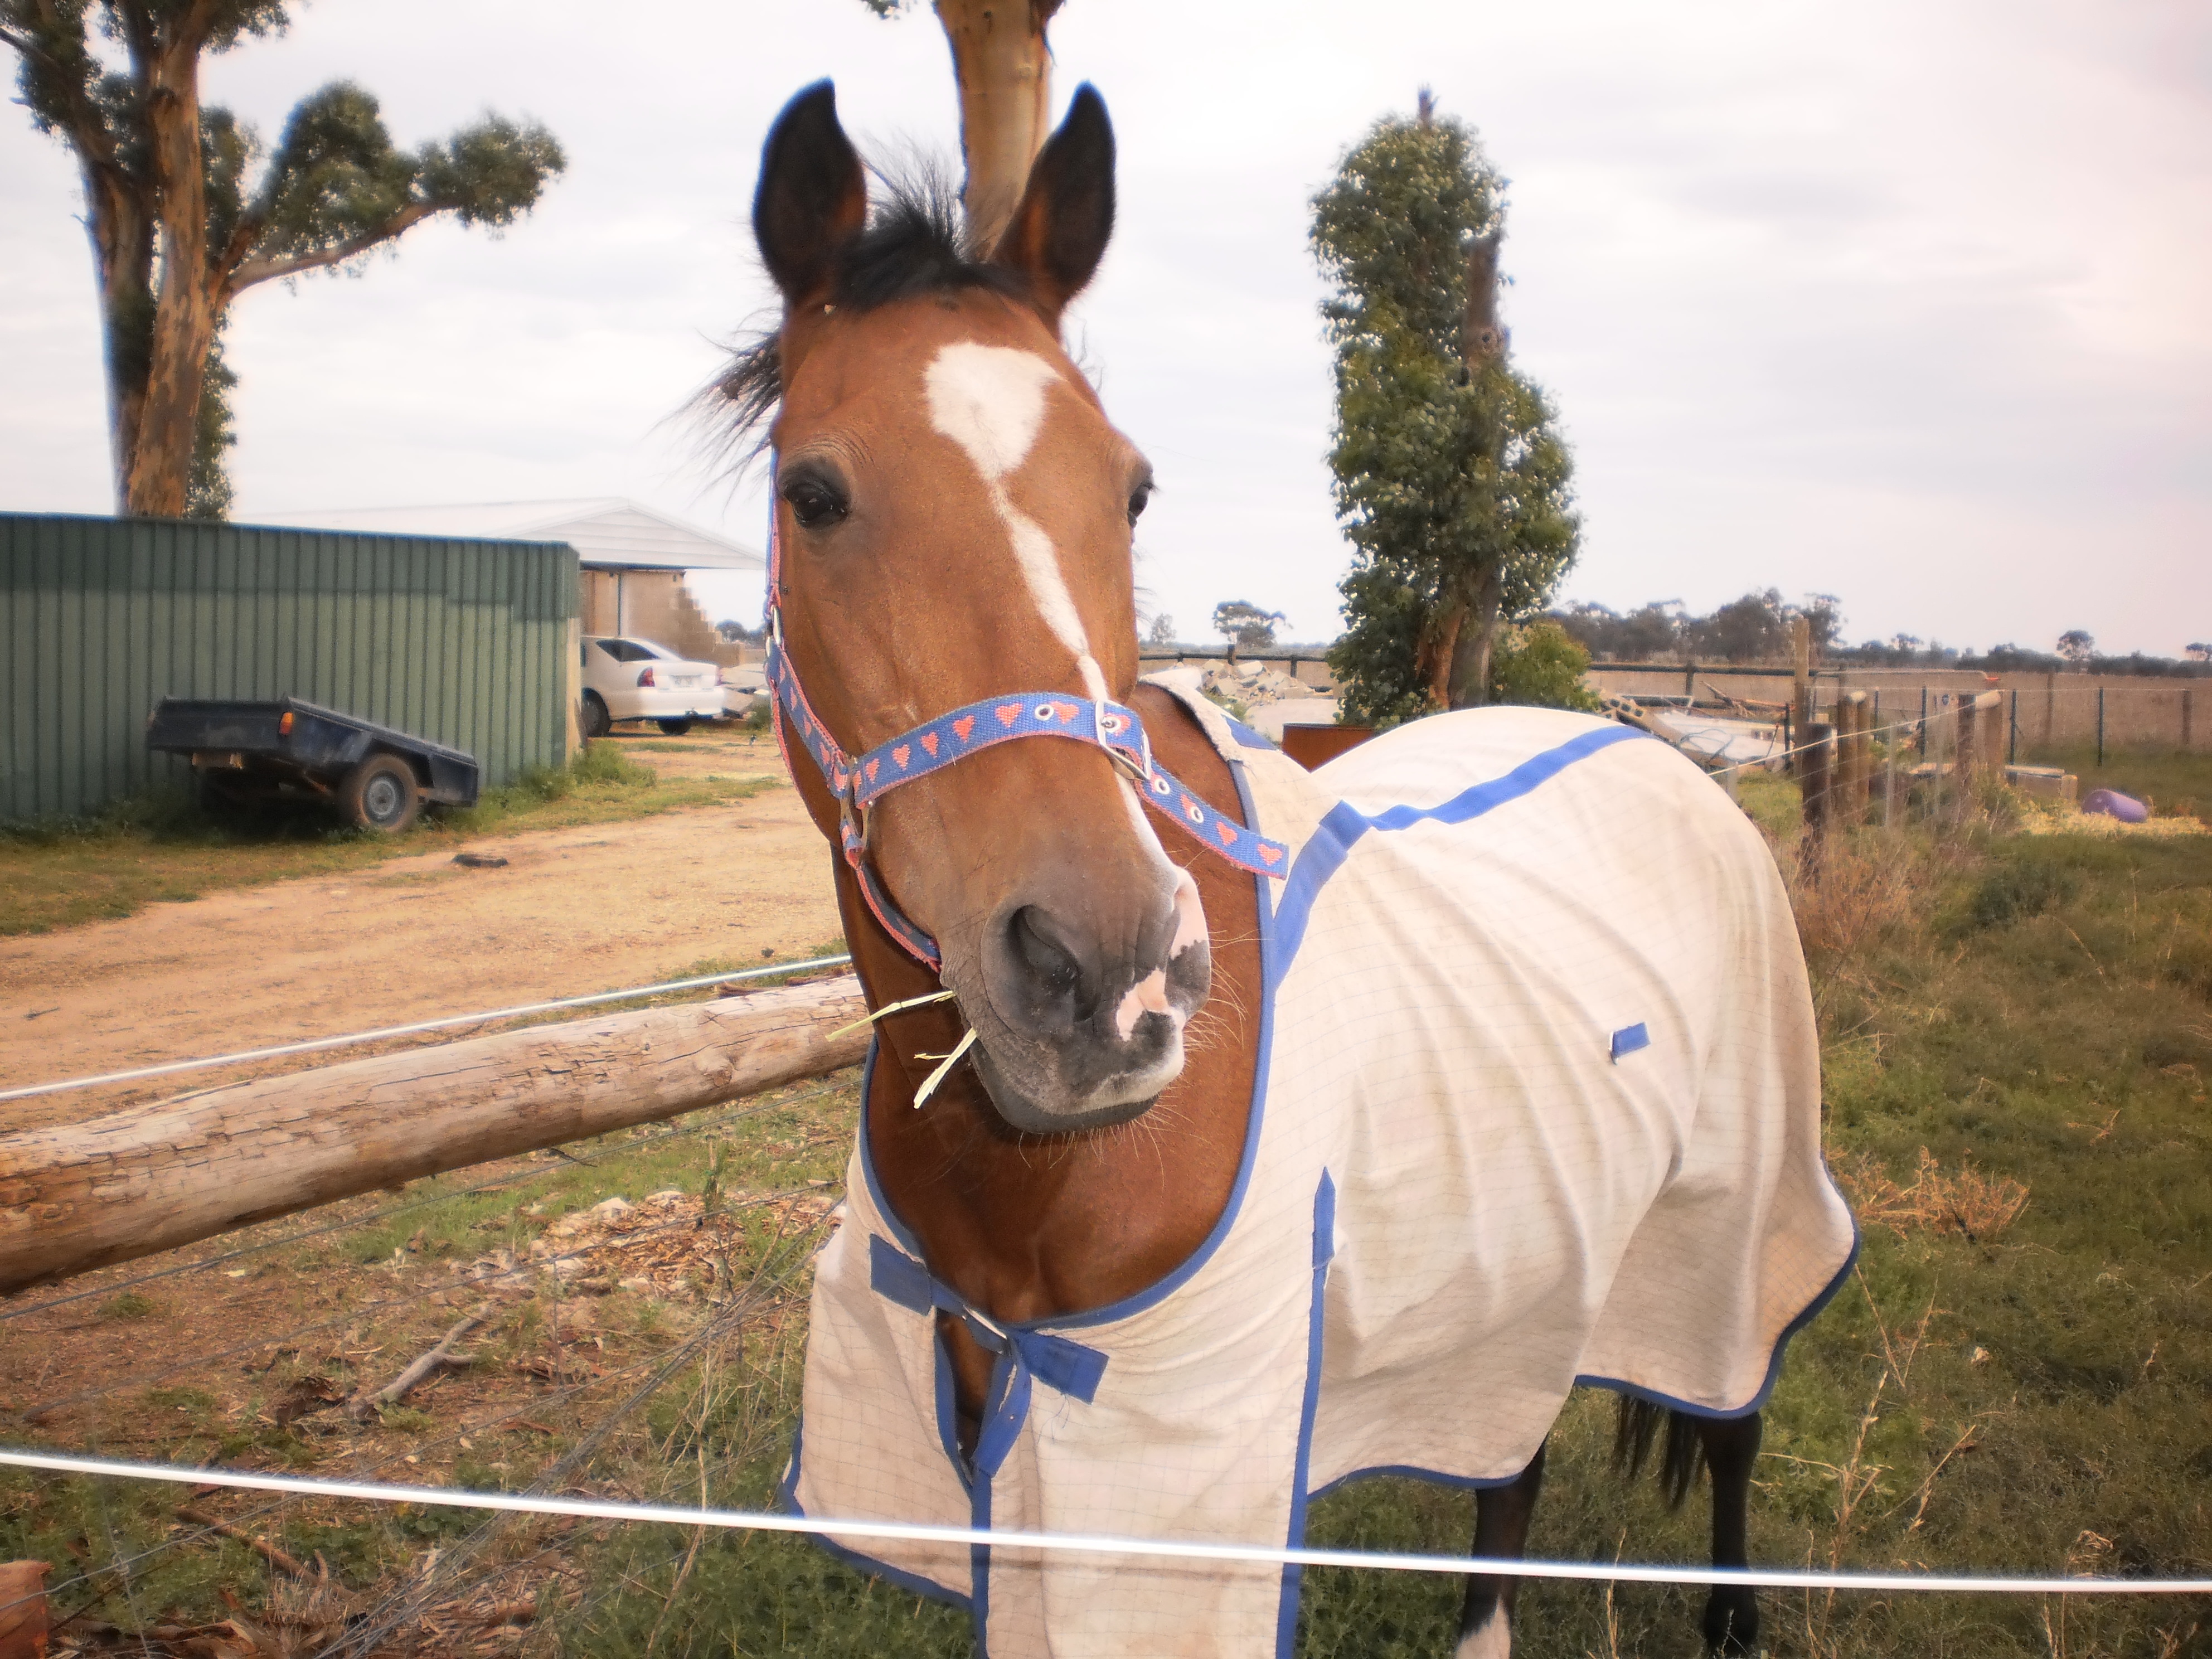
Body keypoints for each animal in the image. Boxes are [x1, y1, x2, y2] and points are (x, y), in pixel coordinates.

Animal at [716, 80, 1857, 1659]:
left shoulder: (1178, 1479)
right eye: (813, 492)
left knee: (1731, 1410)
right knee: (1509, 1462)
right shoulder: (997, 1434)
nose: (1107, 978)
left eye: (1130, 492)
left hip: (1728, 1217)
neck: (1032, 1173)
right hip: (1530, 1271)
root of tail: (1659, 756)